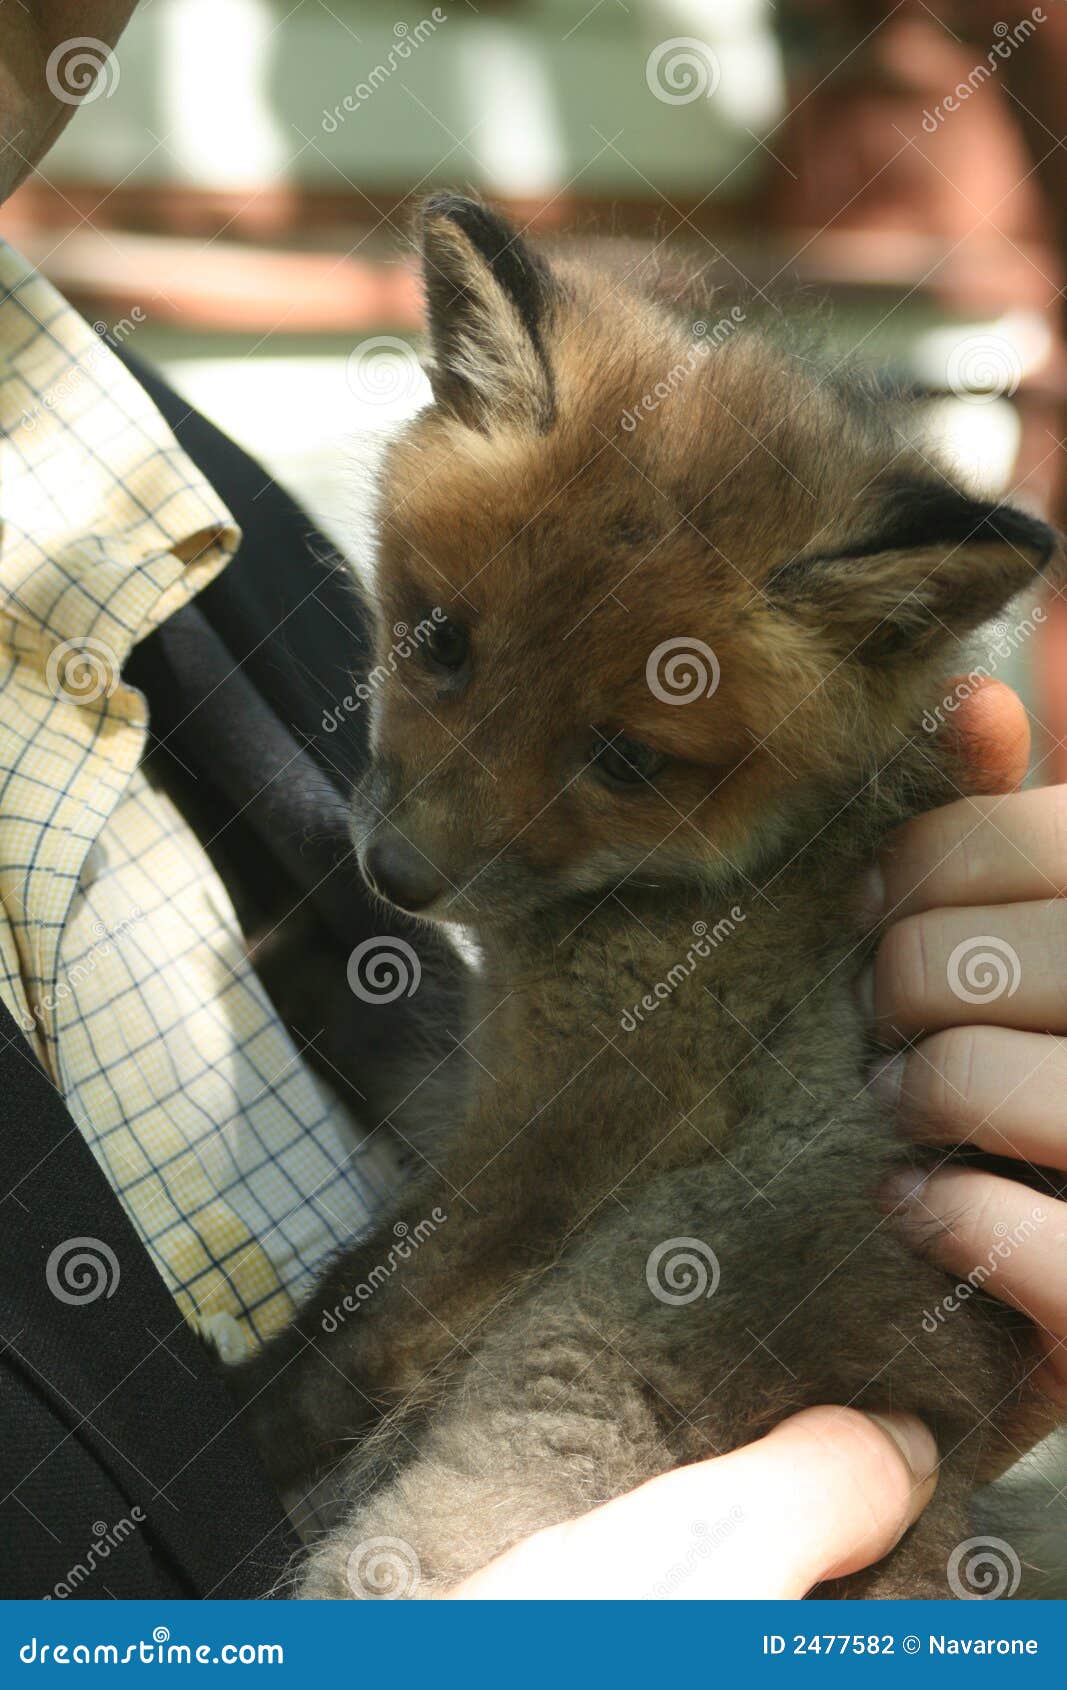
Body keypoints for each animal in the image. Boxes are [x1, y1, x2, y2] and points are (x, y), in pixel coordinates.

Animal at [230, 193, 1062, 1599]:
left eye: (625, 759)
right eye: (441, 641)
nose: (396, 874)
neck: (722, 877)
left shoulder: (562, 1135)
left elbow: (363, 1325)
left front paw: (241, 1410)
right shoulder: (487, 1067)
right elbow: (392, 1049)